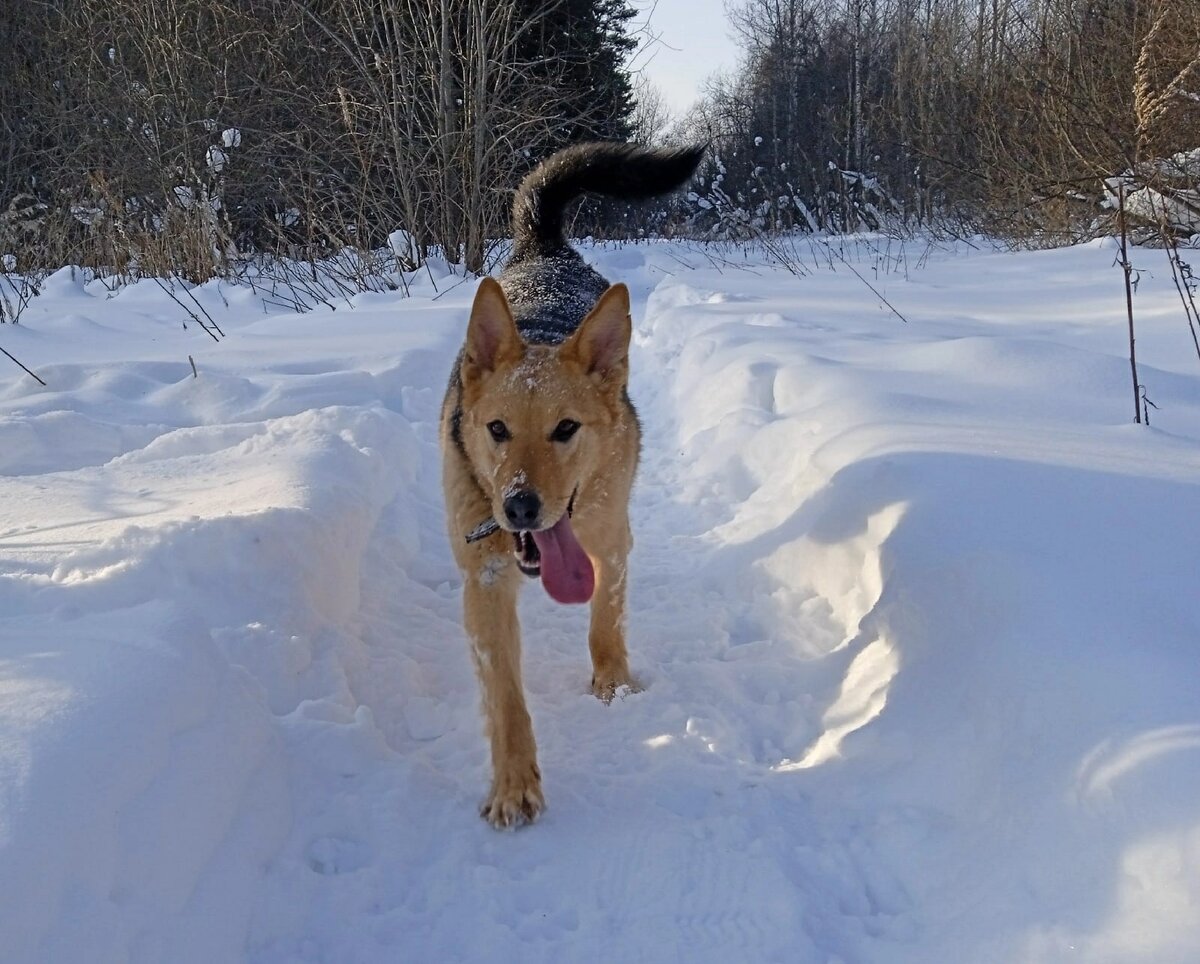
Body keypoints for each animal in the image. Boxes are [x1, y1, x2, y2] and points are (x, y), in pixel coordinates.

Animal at [441, 139, 700, 825]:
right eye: (498, 428)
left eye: (566, 429)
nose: (520, 508)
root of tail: (544, 247)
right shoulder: (486, 578)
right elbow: (505, 697)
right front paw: (513, 783)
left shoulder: (611, 541)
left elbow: (604, 620)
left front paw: (612, 682)